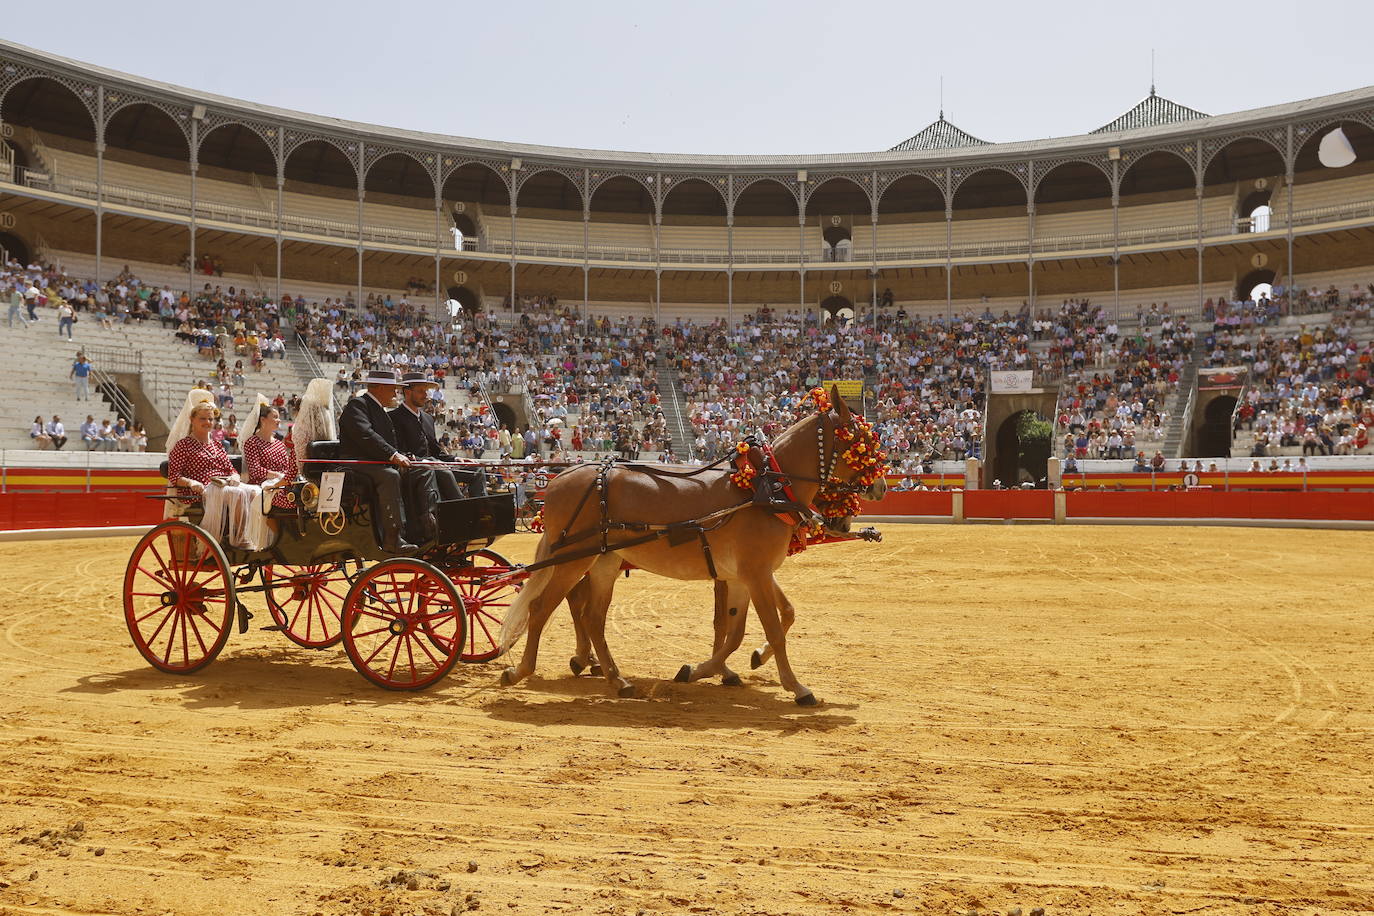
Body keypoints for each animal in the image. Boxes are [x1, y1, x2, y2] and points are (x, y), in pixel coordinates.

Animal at [500, 384, 884, 708]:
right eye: (864, 440)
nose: (880, 486)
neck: (766, 488)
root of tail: (559, 477)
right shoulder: (755, 573)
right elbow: (771, 630)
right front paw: (797, 687)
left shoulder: (742, 576)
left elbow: (740, 629)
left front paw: (706, 670)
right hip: (572, 560)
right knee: (542, 609)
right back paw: (521, 671)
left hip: (603, 563)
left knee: (592, 617)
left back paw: (615, 679)